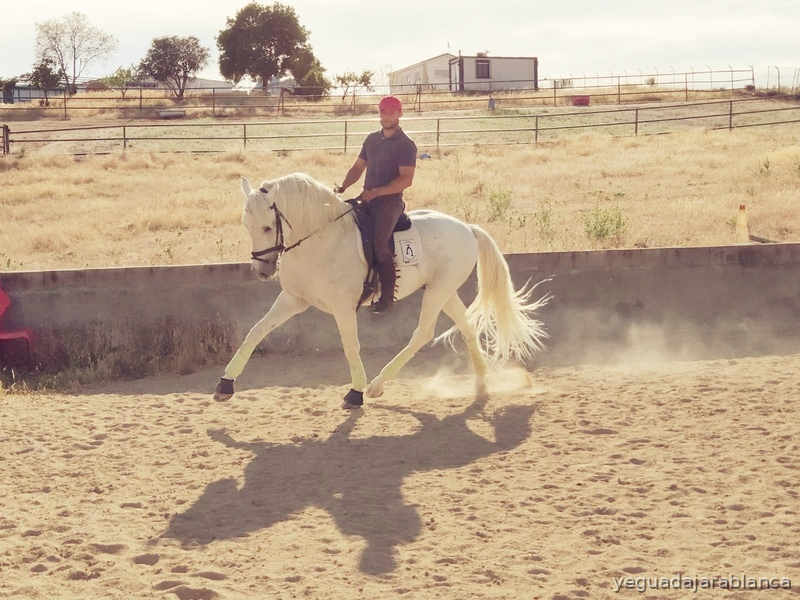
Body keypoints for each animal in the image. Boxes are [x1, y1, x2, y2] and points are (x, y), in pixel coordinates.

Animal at [214, 172, 551, 409]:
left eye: (268, 227)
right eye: (246, 225)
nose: (261, 271)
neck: (320, 238)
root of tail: (468, 228)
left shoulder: (342, 307)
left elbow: (351, 347)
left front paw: (355, 393)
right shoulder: (294, 299)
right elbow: (256, 332)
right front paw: (225, 385)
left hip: (438, 291)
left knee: (423, 334)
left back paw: (376, 385)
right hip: (444, 290)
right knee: (466, 327)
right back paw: (481, 384)